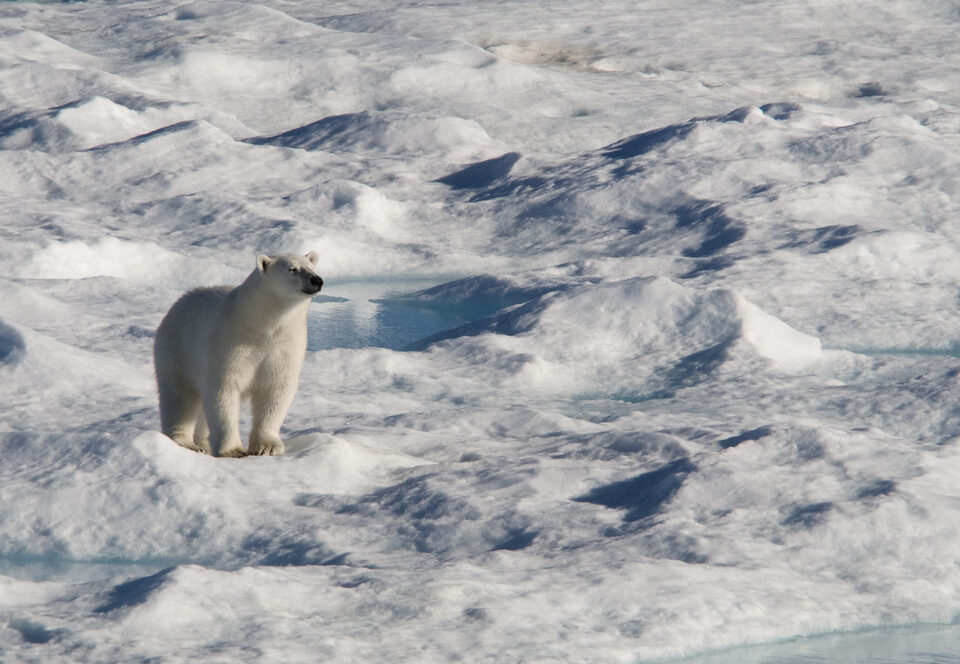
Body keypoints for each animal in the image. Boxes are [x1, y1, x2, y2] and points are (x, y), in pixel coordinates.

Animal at [154, 250, 324, 456]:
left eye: (311, 267)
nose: (317, 280)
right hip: (176, 350)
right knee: (180, 398)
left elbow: (275, 390)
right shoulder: (231, 343)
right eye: (292, 269)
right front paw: (233, 450)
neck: (262, 326)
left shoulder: (285, 345)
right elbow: (224, 390)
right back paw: (186, 442)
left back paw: (203, 442)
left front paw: (267, 446)